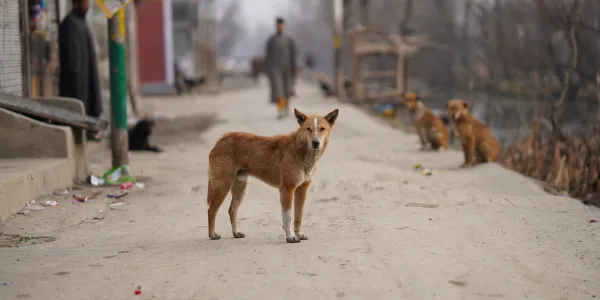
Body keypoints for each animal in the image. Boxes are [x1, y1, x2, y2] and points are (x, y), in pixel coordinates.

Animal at [205, 106, 338, 243]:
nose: (315, 143)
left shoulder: (302, 190)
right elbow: (288, 217)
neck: (300, 151)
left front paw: (299, 233)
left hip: (240, 188)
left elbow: (298, 216)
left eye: (322, 129)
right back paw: (212, 234)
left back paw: (236, 232)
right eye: (308, 129)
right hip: (223, 185)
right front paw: (290, 236)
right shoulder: (287, 189)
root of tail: (221, 140)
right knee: (211, 210)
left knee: (232, 210)